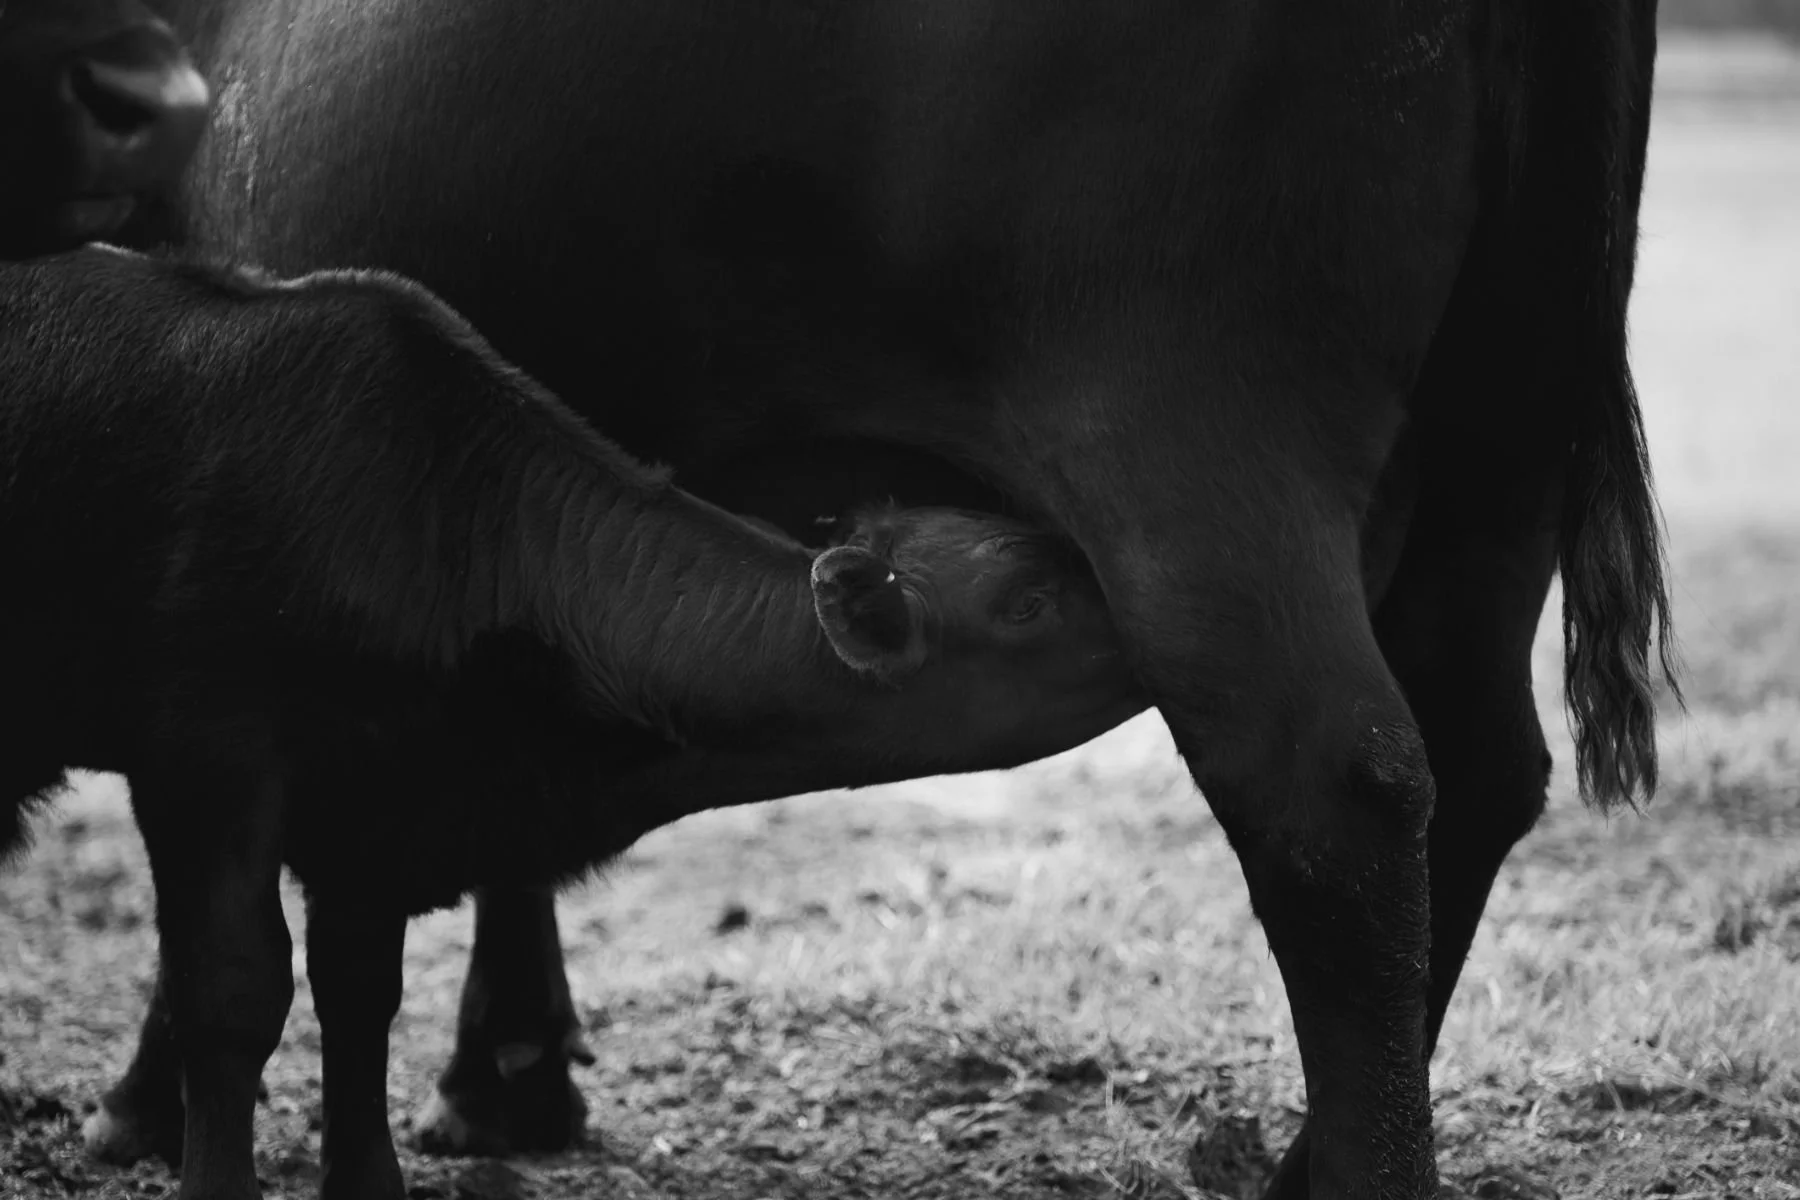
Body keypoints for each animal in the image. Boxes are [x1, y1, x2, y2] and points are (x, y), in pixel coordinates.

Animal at [0, 241, 1148, 1200]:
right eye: (1028, 602)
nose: (1142, 622)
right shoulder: (208, 753)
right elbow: (233, 994)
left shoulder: (377, 807)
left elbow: (359, 992)